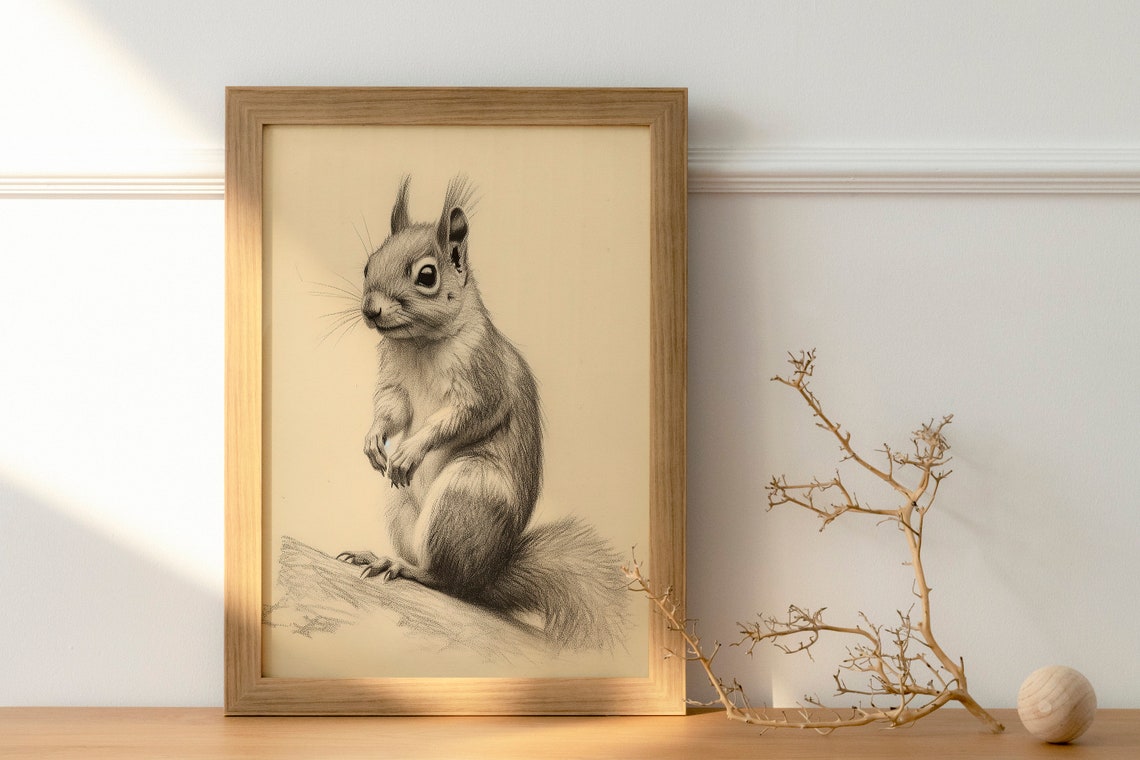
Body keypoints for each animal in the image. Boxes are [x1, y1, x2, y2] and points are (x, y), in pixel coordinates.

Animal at [336, 175, 625, 650]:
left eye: (427, 275)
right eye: (367, 264)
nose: (370, 309)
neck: (420, 344)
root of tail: (488, 576)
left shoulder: (482, 380)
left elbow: (462, 417)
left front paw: (409, 450)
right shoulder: (394, 380)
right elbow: (391, 409)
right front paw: (374, 440)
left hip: (466, 497)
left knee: (448, 581)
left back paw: (407, 569)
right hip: (401, 503)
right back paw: (378, 555)